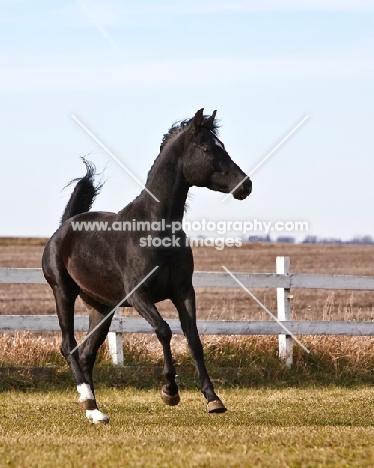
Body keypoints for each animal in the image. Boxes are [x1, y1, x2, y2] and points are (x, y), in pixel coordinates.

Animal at [41, 110, 251, 424]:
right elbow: (164, 331)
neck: (155, 228)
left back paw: (93, 409)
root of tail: (65, 226)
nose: (245, 185)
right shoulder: (139, 295)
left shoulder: (183, 291)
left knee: (88, 353)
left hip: (101, 308)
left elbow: (193, 339)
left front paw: (213, 399)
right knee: (69, 347)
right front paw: (170, 391)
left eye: (222, 147)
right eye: (207, 149)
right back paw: (90, 404)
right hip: (63, 293)